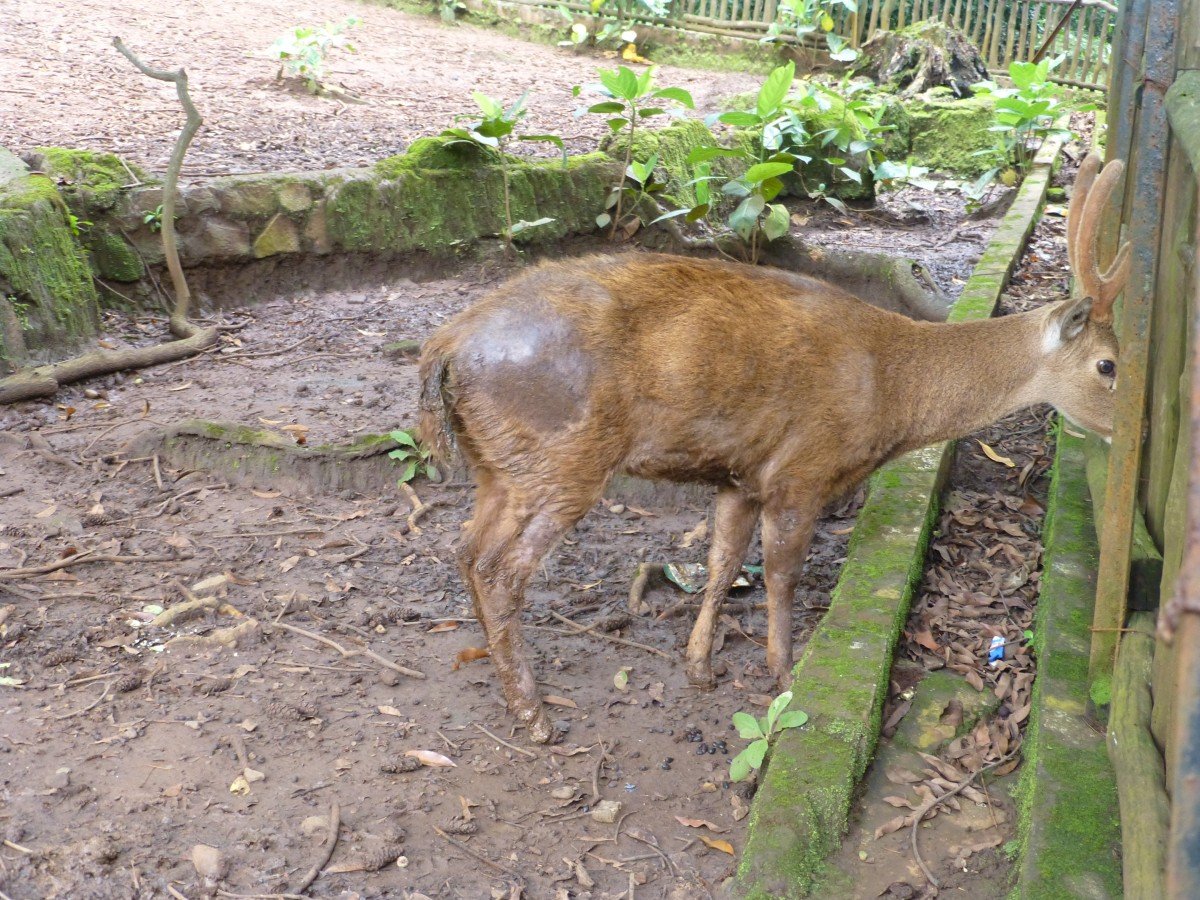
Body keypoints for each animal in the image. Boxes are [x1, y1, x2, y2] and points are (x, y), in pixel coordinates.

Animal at [417, 153, 1128, 748]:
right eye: (1109, 365)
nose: (1128, 430)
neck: (892, 392)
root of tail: (446, 348)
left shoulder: (742, 474)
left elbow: (723, 561)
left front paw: (700, 666)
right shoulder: (803, 469)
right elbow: (782, 572)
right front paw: (784, 671)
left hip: (500, 464)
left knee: (465, 550)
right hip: (563, 457)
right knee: (502, 569)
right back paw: (533, 713)